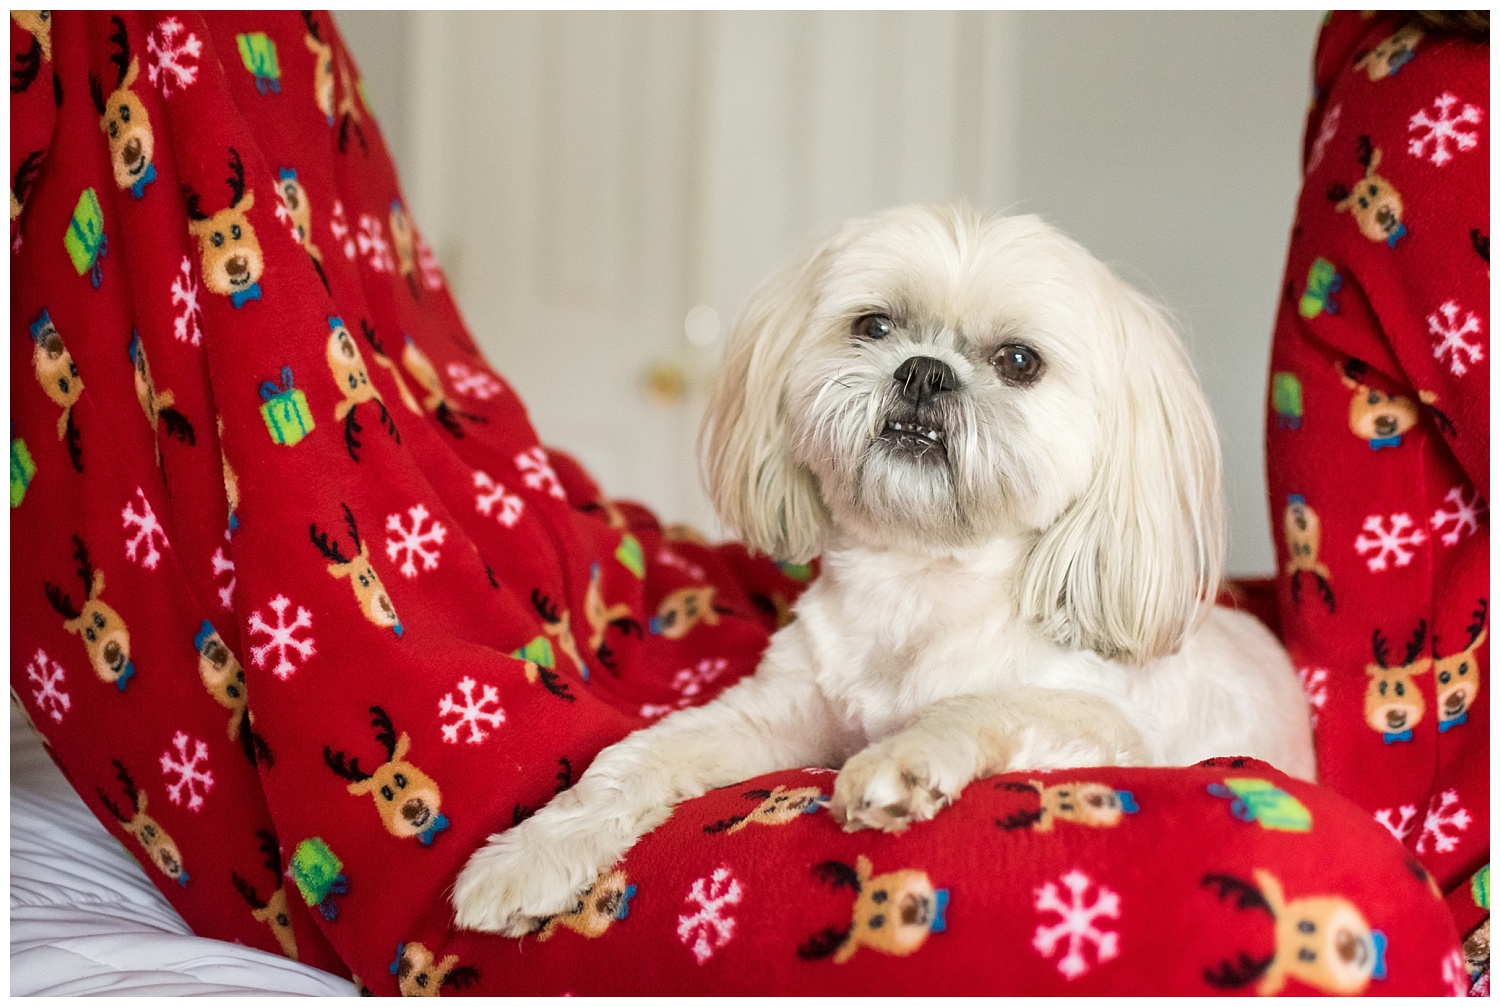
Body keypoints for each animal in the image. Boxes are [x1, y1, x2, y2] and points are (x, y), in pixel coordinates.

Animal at [453, 202, 1314, 936]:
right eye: (873, 325)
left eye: (1019, 360)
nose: (924, 371)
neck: (918, 580)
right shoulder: (773, 716)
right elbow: (636, 755)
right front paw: (530, 852)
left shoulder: (1107, 731)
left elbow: (983, 704)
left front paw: (902, 759)